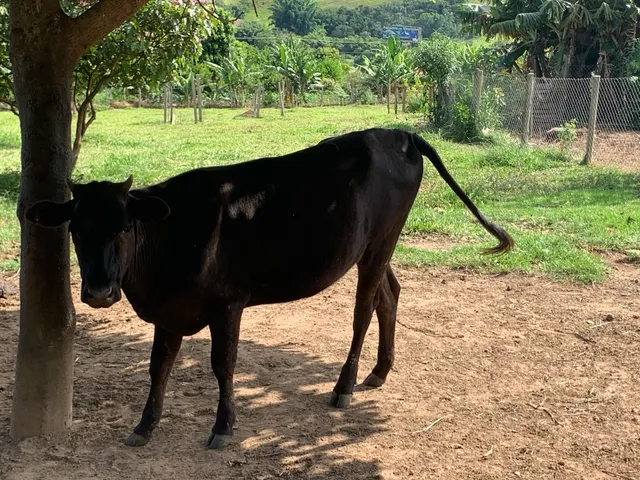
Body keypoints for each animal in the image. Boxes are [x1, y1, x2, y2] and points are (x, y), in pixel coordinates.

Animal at [26, 128, 514, 450]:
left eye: (124, 227)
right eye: (75, 230)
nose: (99, 292)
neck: (173, 234)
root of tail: (399, 133)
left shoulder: (227, 303)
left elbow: (222, 365)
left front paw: (223, 428)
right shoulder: (170, 310)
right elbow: (158, 368)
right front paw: (144, 427)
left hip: (379, 243)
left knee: (364, 308)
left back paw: (345, 385)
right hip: (377, 246)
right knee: (389, 295)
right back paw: (380, 371)